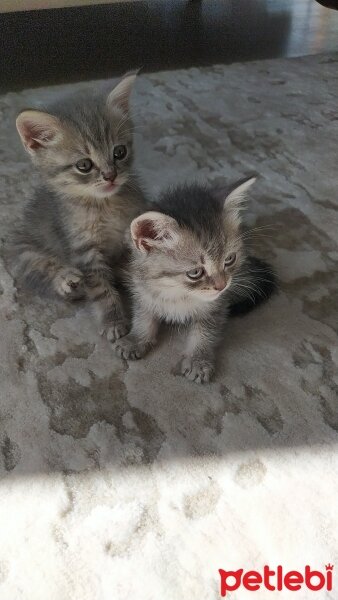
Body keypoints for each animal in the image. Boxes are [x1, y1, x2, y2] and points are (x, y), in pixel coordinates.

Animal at [12, 72, 147, 340]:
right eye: (84, 165)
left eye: (119, 152)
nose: (110, 176)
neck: (104, 206)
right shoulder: (83, 249)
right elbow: (101, 288)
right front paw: (113, 321)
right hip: (22, 249)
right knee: (37, 271)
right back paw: (67, 280)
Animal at [113, 177, 278, 384]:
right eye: (195, 272)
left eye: (229, 259)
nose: (222, 286)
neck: (178, 293)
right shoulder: (142, 289)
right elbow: (144, 316)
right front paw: (136, 339)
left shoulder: (216, 306)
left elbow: (205, 332)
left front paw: (198, 360)